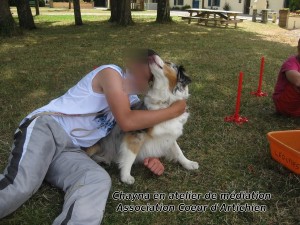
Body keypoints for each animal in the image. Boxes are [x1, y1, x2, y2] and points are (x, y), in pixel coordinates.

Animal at [86, 53, 199, 184]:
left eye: (168, 63)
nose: (151, 54)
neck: (164, 102)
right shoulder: (135, 134)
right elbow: (130, 156)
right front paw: (126, 176)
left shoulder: (169, 132)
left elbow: (177, 150)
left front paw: (188, 163)